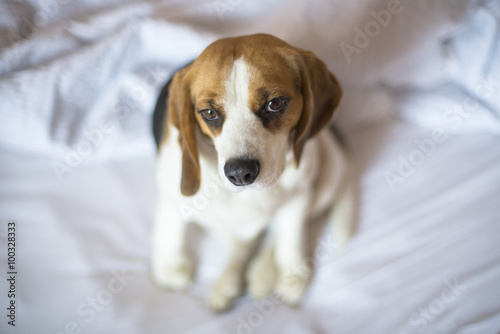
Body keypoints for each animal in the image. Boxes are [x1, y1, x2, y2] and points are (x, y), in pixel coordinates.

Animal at [150, 33, 354, 310]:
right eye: (209, 113)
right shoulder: (172, 193)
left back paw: (263, 272)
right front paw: (172, 265)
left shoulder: (300, 196)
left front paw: (291, 273)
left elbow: (290, 235)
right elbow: (172, 225)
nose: (240, 173)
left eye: (275, 103)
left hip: (328, 172)